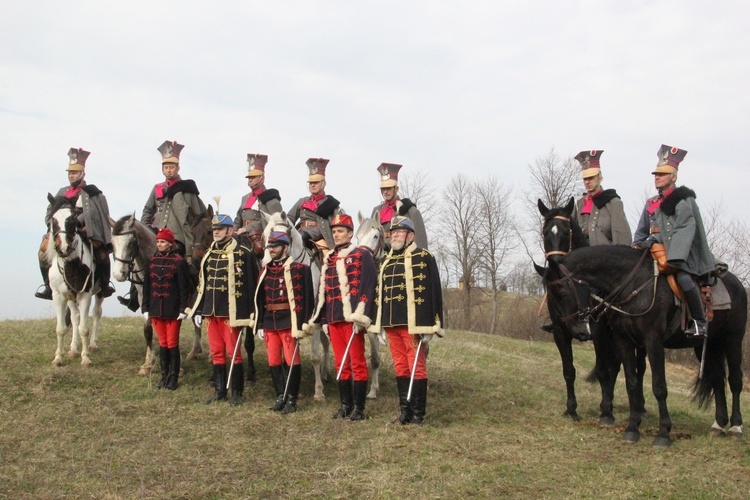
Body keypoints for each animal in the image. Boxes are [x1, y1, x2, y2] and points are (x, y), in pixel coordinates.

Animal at [45, 195, 104, 368]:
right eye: (53, 219)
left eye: (72, 219)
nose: (63, 248)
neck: (71, 264)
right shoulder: (59, 296)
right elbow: (61, 328)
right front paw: (59, 357)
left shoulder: (85, 295)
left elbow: (84, 328)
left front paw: (85, 358)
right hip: (71, 297)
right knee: (75, 317)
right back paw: (73, 348)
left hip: (100, 293)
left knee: (96, 313)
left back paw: (92, 344)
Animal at [109, 215, 158, 376]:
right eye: (112, 243)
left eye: (131, 242)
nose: (118, 274)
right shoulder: (144, 298)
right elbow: (148, 329)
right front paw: (148, 363)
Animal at [536, 197, 648, 424]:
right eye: (545, 231)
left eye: (566, 231)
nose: (555, 265)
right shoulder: (560, 332)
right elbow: (568, 370)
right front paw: (571, 409)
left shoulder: (598, 331)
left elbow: (605, 371)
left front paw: (606, 413)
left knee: (634, 368)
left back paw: (637, 408)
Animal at [548, 244, 748, 448]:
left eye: (562, 293)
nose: (571, 328)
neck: (633, 284)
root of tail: (737, 284)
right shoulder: (624, 341)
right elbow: (631, 383)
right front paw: (632, 428)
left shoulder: (653, 341)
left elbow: (659, 387)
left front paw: (663, 433)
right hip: (708, 344)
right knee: (717, 379)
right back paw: (719, 424)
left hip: (733, 339)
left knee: (735, 380)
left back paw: (735, 426)